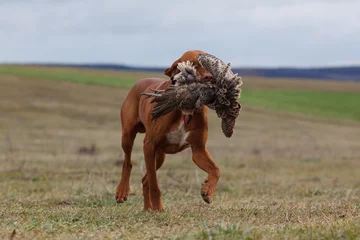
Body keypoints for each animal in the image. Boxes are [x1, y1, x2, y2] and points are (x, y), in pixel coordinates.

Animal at [116, 50, 221, 210]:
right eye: (193, 64)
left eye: (211, 65)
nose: (210, 77)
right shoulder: (149, 145)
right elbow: (154, 184)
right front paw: (158, 208)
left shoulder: (198, 150)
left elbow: (215, 169)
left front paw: (208, 190)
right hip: (128, 136)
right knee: (128, 162)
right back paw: (123, 191)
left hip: (159, 156)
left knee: (145, 180)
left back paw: (147, 209)